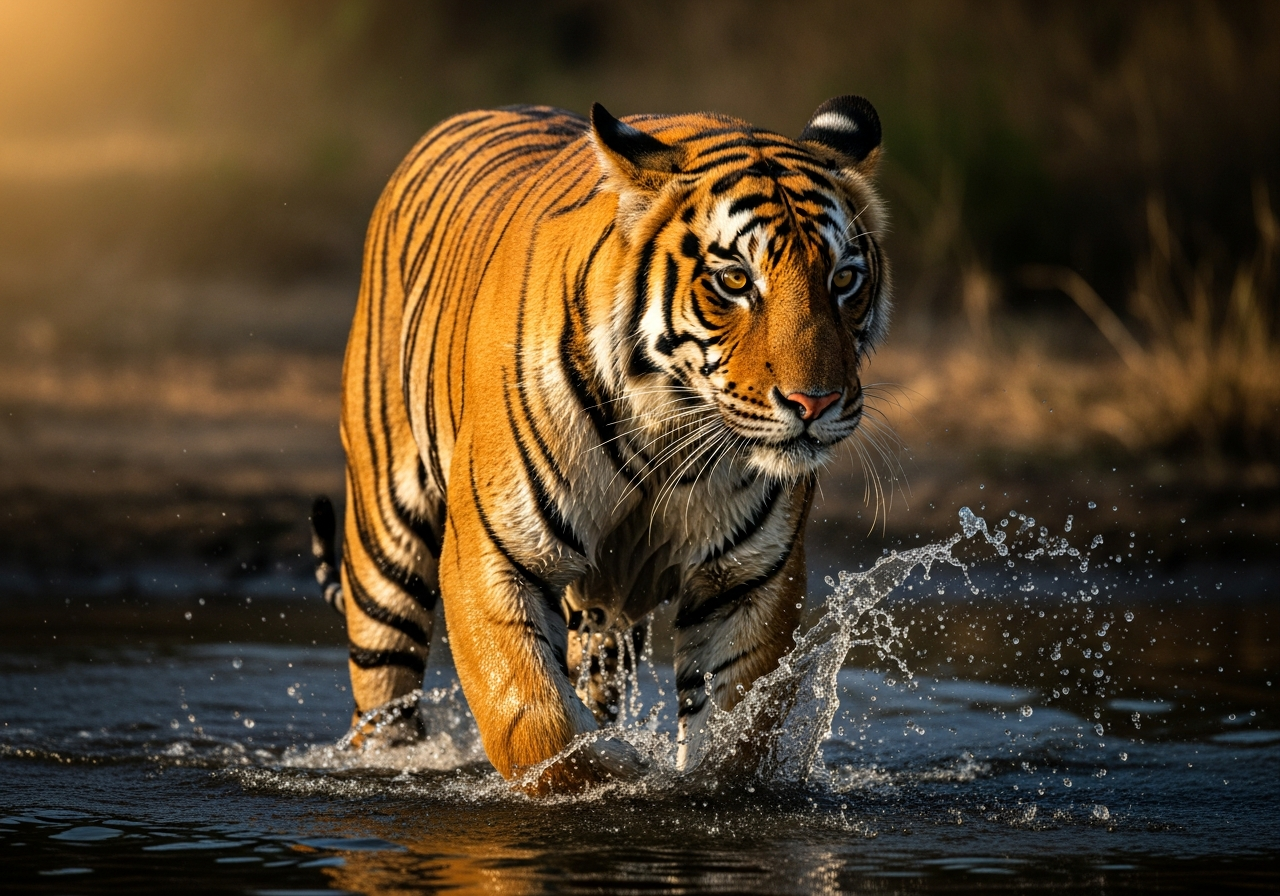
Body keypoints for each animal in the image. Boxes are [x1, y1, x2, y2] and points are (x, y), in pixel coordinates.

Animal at [310, 95, 891, 792]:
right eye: (734, 280)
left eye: (845, 279)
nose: (815, 403)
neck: (671, 431)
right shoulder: (492, 555)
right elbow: (535, 721)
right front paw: (613, 774)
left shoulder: (749, 578)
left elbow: (734, 735)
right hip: (386, 539)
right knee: (383, 692)